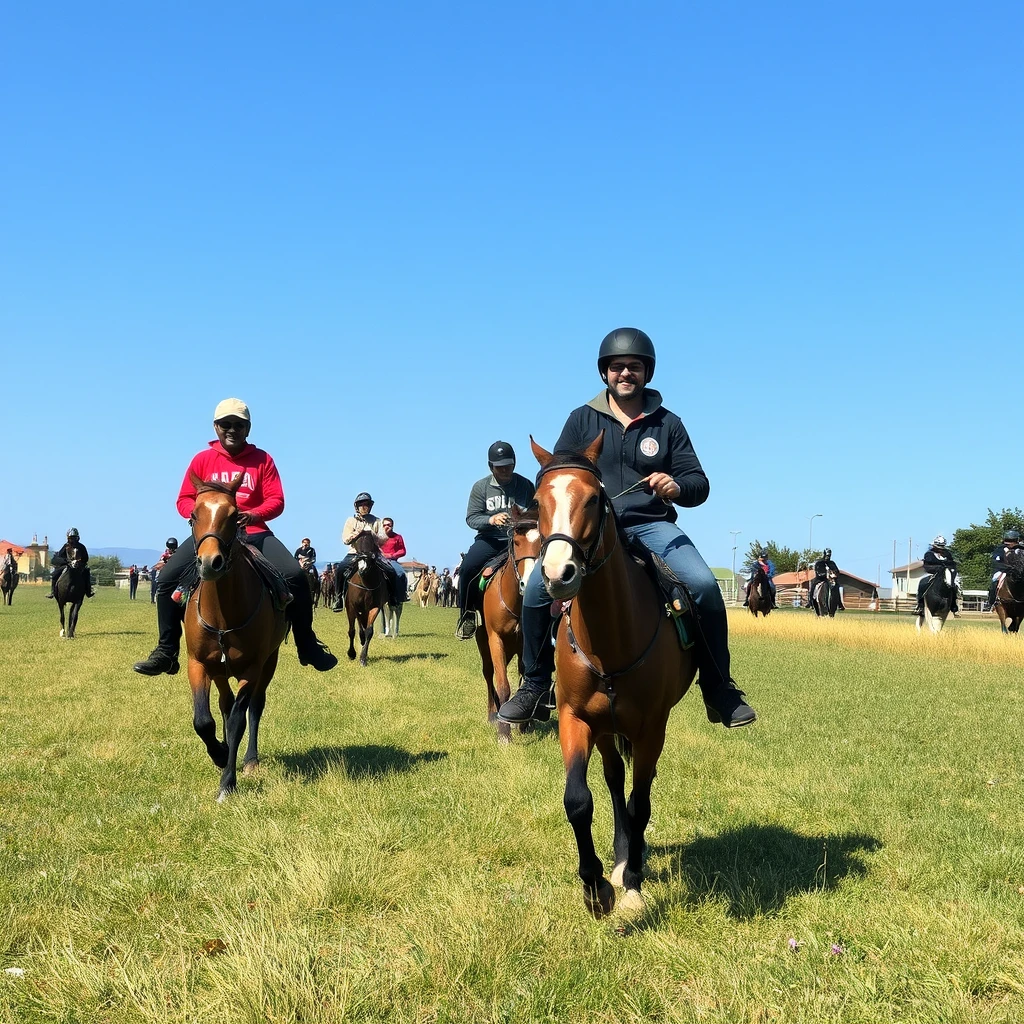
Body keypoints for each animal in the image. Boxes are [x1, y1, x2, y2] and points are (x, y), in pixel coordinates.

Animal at [183, 475, 286, 802]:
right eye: (193, 516)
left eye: (233, 515)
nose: (210, 562)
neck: (223, 615)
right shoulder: (197, 664)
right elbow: (203, 721)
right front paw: (219, 753)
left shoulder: (252, 668)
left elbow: (239, 720)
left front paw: (227, 782)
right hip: (219, 670)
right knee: (224, 705)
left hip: (268, 663)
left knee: (253, 707)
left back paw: (250, 760)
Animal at [346, 532, 389, 667]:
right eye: (358, 551)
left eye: (371, 553)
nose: (362, 570)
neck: (366, 585)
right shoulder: (356, 607)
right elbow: (359, 631)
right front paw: (355, 653)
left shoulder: (374, 607)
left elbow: (369, 631)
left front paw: (363, 658)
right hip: (350, 609)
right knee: (352, 630)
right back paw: (351, 653)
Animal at [475, 505, 544, 741]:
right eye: (516, 541)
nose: (528, 583)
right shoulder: (496, 640)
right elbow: (503, 684)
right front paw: (504, 733)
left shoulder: (525, 645)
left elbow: (525, 678)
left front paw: (523, 724)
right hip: (484, 643)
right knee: (489, 674)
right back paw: (492, 713)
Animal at [532, 432, 700, 921]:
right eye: (536, 502)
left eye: (593, 499)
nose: (558, 573)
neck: (610, 641)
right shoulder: (575, 719)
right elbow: (578, 800)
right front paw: (595, 887)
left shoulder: (651, 728)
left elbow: (640, 804)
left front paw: (632, 886)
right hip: (605, 728)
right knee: (612, 780)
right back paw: (621, 857)